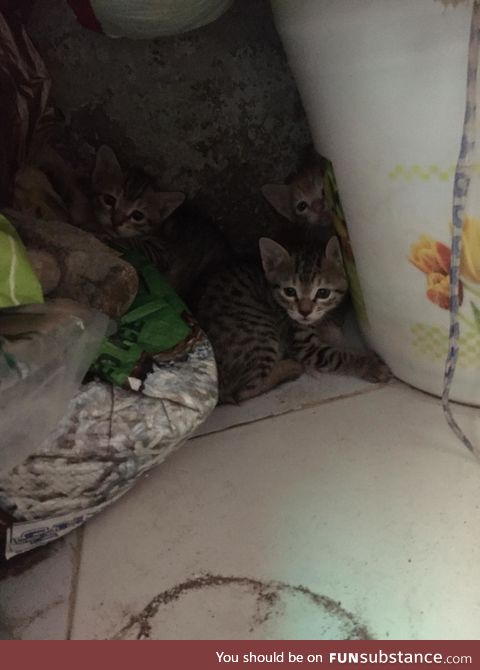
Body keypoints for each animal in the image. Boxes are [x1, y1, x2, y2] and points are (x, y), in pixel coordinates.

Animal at [93, 147, 231, 300]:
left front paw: (106, 234)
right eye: (109, 200)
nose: (115, 221)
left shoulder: (162, 254)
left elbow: (134, 242)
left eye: (138, 215)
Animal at [196, 236, 390, 404]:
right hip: (260, 330)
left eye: (323, 292)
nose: (304, 312)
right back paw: (290, 367)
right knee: (243, 391)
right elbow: (338, 355)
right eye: (289, 291)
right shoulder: (305, 346)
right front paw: (370, 364)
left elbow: (335, 337)